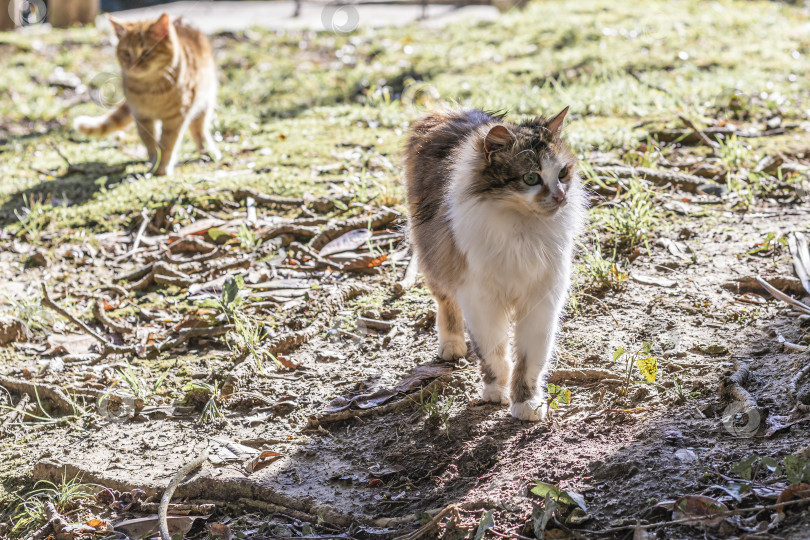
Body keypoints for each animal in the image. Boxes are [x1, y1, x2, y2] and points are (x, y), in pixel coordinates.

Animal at [74, 13, 219, 175]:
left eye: (147, 52)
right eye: (126, 53)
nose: (133, 66)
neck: (149, 89)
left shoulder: (175, 118)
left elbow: (167, 144)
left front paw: (161, 167)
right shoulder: (142, 118)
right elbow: (150, 144)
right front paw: (154, 162)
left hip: (204, 102)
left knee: (199, 130)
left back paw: (208, 151)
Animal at [408, 107, 584, 422]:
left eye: (562, 173)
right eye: (531, 178)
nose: (561, 196)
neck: (522, 230)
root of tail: (454, 112)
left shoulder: (541, 299)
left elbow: (529, 361)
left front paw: (526, 404)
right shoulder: (480, 298)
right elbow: (493, 352)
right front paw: (495, 391)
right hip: (436, 258)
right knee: (446, 303)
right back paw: (452, 345)